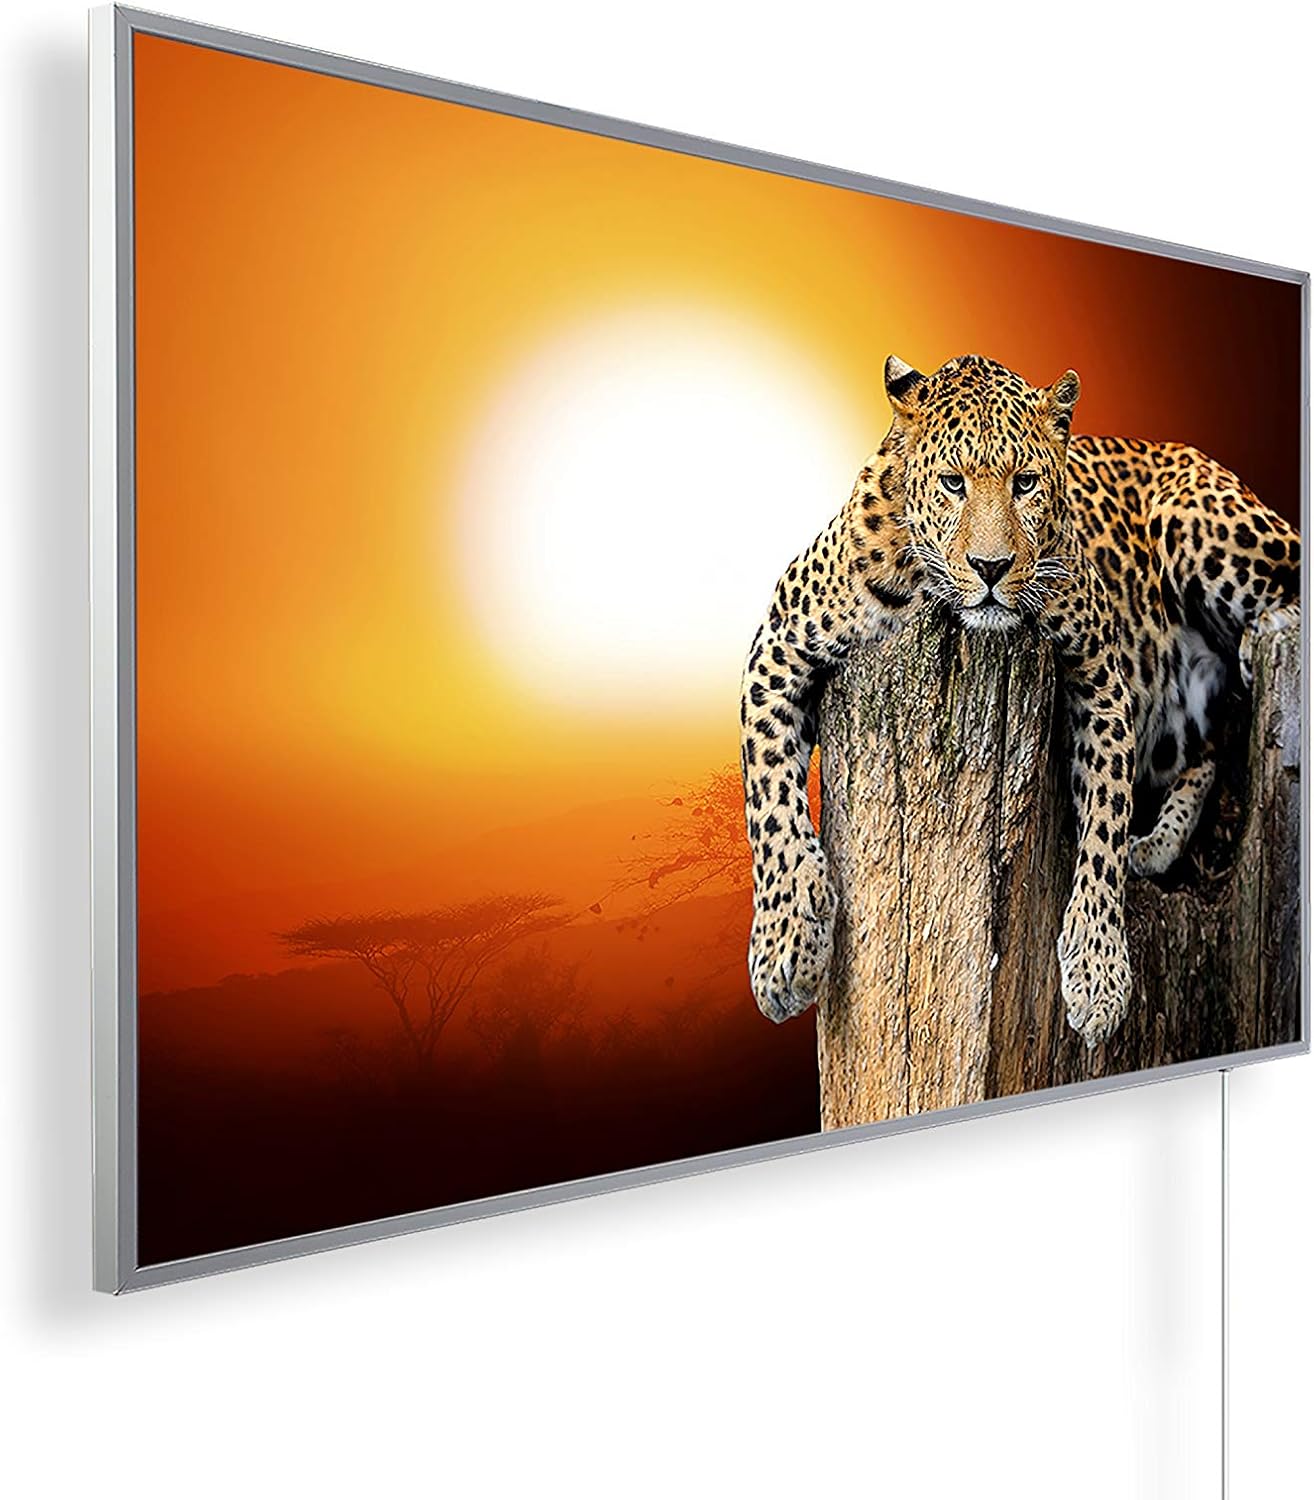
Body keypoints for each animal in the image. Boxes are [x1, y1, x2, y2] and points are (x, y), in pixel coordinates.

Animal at [740, 353, 1300, 1048]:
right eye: (952, 483)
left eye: (1027, 483)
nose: (990, 567)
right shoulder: (778, 646)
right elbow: (769, 802)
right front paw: (785, 946)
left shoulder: (1101, 674)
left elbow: (1104, 821)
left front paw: (1097, 972)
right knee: (1209, 745)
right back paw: (1157, 843)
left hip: (1199, 520)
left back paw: (1263, 637)